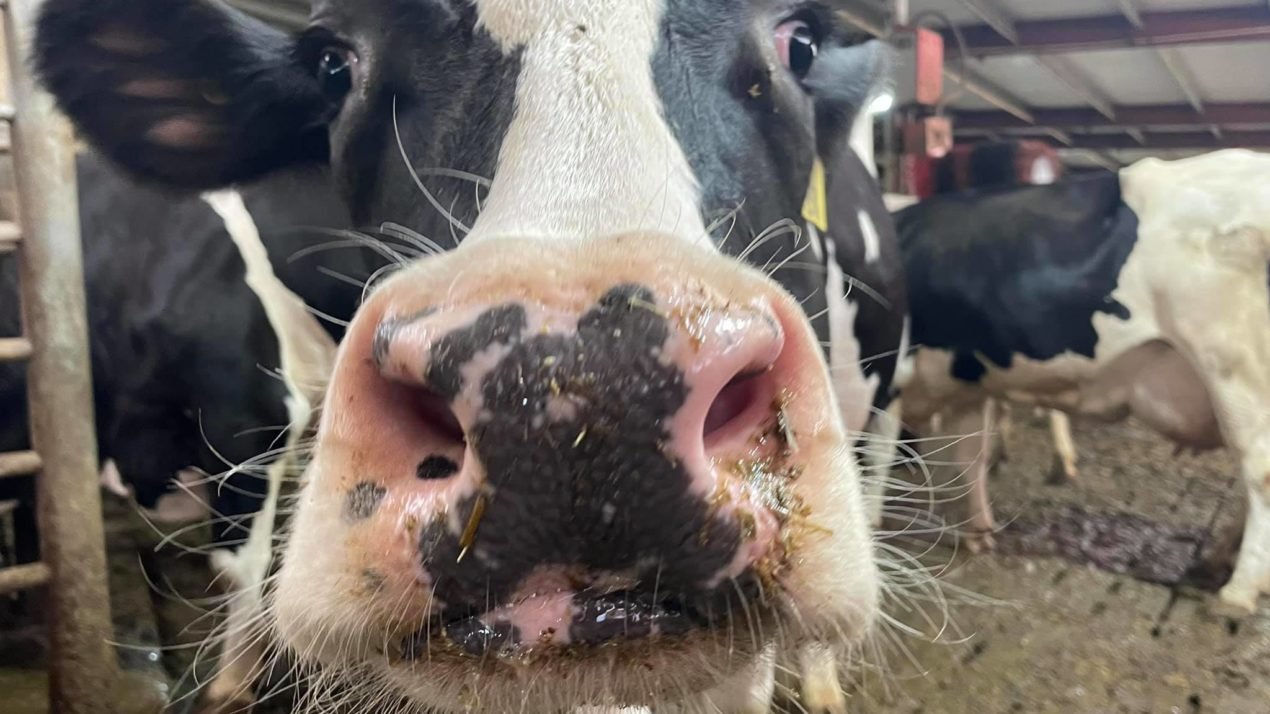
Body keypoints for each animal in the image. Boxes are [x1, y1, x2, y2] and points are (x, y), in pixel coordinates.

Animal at [891, 152, 1270, 614]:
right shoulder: (967, 383)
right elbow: (967, 458)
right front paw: (976, 534)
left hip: (1232, 367)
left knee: (1259, 470)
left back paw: (1237, 592)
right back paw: (1218, 560)